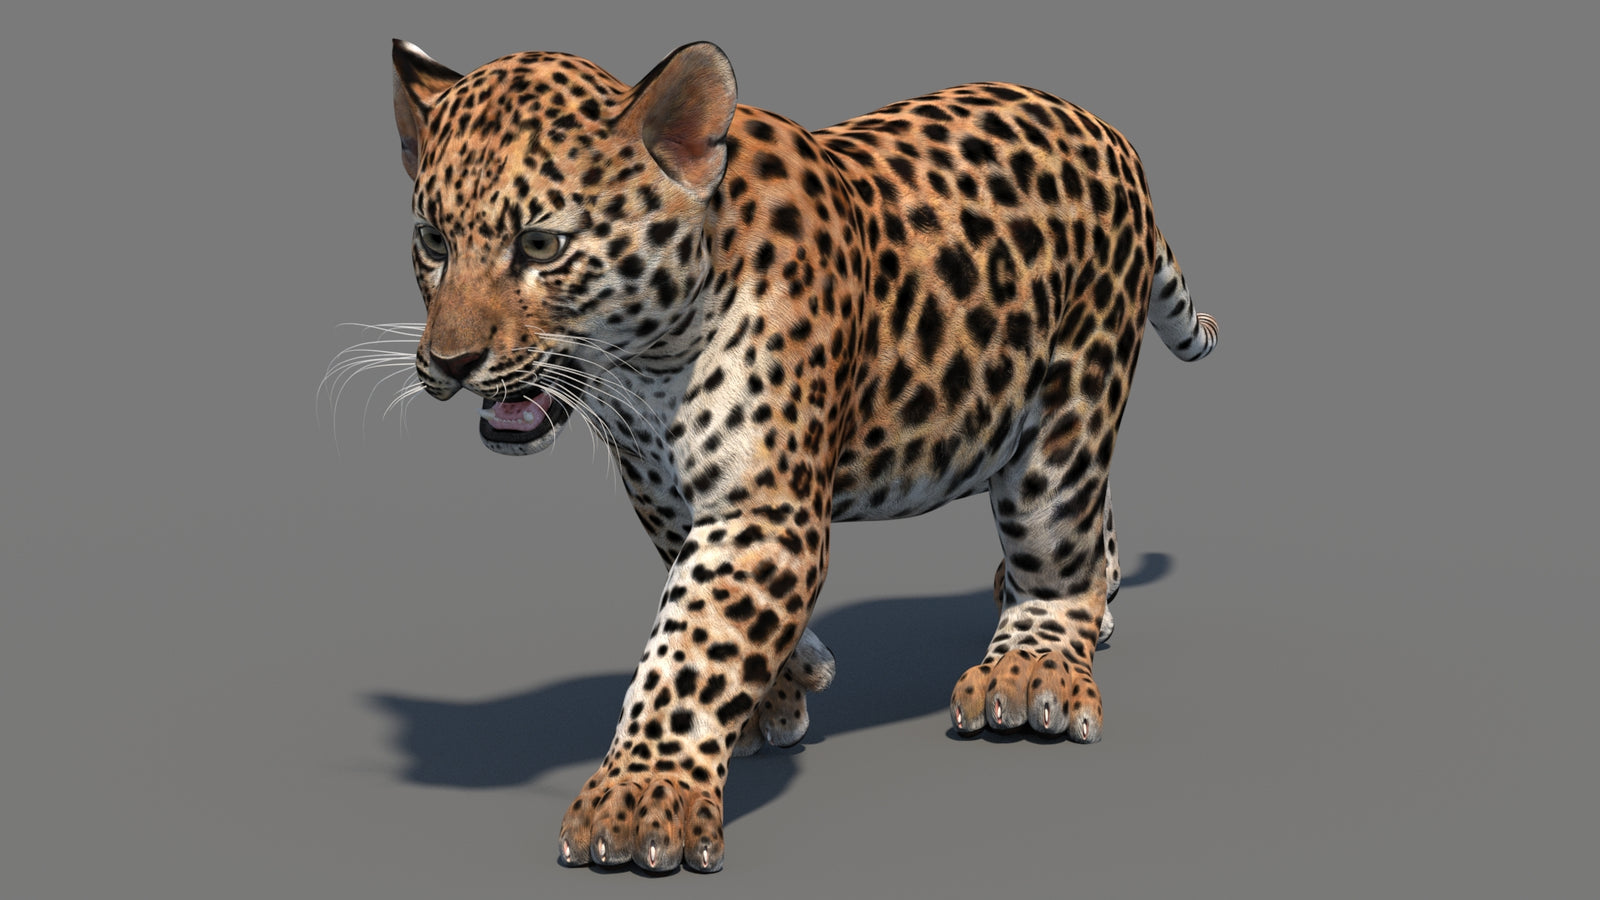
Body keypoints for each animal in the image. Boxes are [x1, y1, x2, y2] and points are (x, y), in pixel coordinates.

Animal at [385, 38, 1218, 874]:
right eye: (433, 242)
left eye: (540, 244)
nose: (449, 362)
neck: (646, 368)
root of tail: (1104, 128)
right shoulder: (662, 491)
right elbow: (706, 606)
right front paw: (783, 690)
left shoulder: (763, 510)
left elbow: (692, 646)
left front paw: (643, 796)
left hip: (1071, 397)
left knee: (1057, 531)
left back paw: (1034, 664)